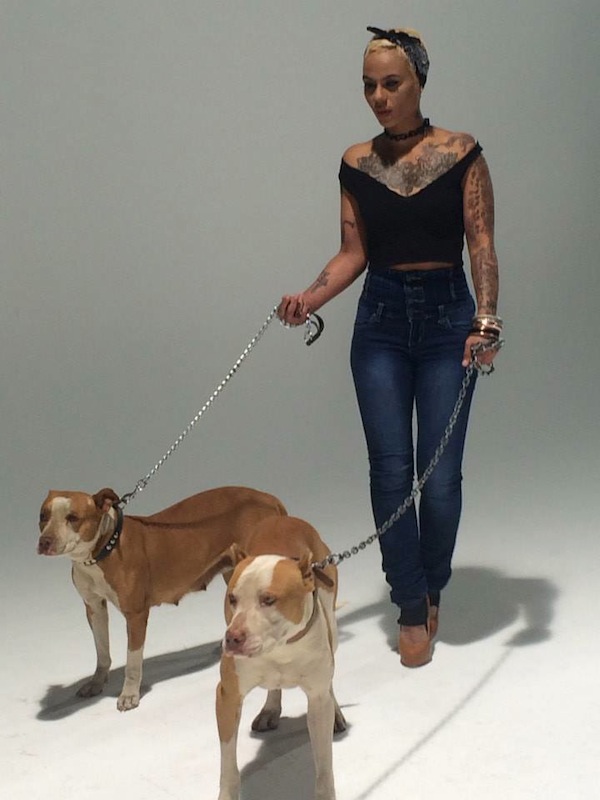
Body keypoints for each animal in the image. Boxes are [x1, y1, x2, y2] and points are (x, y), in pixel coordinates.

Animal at [37, 485, 286, 711]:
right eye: (43, 516)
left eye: (73, 518)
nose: (44, 542)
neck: (103, 549)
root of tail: (268, 498)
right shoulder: (94, 608)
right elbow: (102, 651)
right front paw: (97, 682)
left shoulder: (136, 615)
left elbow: (133, 661)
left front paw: (129, 695)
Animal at [215, 515, 346, 800]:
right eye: (232, 598)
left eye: (268, 600)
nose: (232, 637)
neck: (280, 648)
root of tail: (286, 518)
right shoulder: (228, 697)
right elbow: (228, 764)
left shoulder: (317, 701)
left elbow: (324, 765)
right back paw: (270, 709)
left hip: (332, 626)